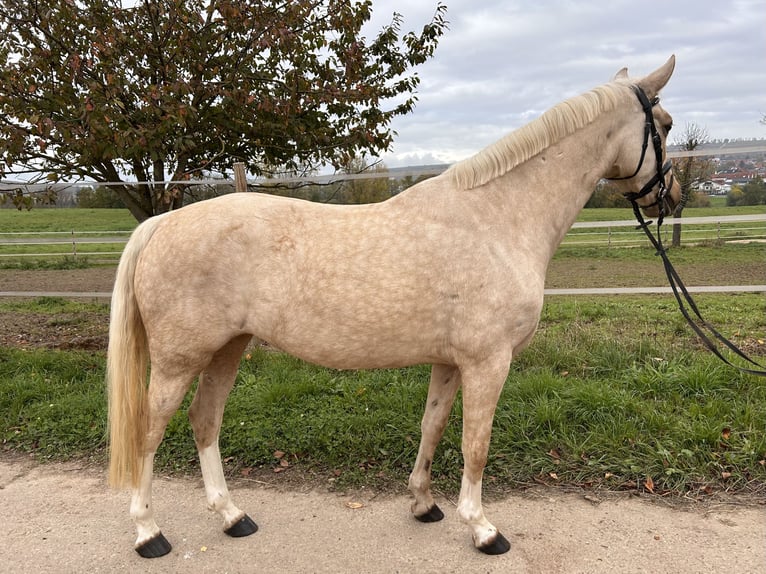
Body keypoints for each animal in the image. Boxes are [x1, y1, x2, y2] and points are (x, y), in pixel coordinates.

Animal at [108, 56, 684, 560]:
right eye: (666, 124)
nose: (672, 197)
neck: (497, 219)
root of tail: (162, 223)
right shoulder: (489, 362)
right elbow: (476, 444)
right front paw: (482, 529)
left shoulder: (450, 362)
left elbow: (433, 426)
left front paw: (424, 504)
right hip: (179, 359)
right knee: (150, 431)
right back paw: (147, 533)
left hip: (228, 348)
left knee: (204, 420)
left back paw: (233, 517)